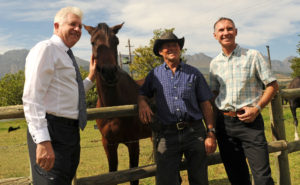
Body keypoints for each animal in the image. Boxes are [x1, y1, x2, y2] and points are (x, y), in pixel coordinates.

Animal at [84, 22, 152, 184]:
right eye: (93, 42)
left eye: (116, 41)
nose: (109, 72)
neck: (113, 108)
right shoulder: (109, 145)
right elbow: (112, 174)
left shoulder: (133, 143)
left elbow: (134, 177)